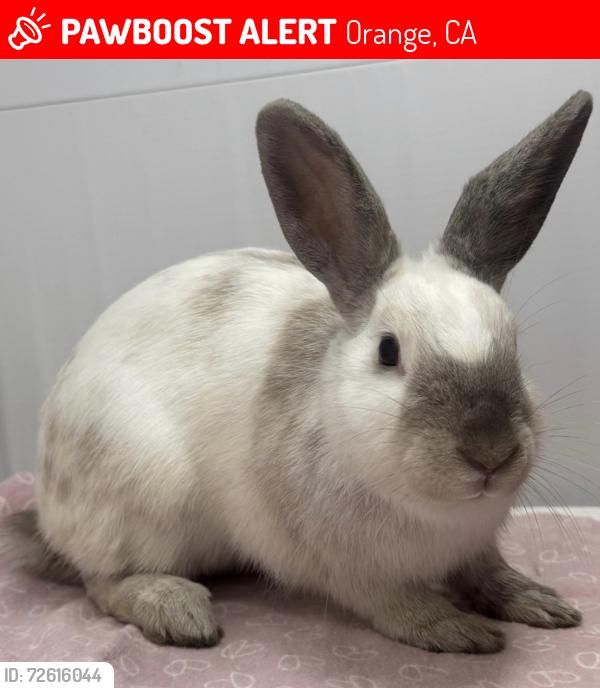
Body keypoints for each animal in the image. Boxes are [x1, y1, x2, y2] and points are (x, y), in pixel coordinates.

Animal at [2, 90, 593, 653]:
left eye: (514, 343)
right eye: (388, 351)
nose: (490, 452)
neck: (439, 513)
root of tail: (48, 509)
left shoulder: (477, 544)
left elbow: (489, 572)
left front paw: (539, 602)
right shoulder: (351, 570)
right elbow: (398, 605)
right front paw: (455, 630)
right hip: (139, 505)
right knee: (99, 581)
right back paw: (179, 610)